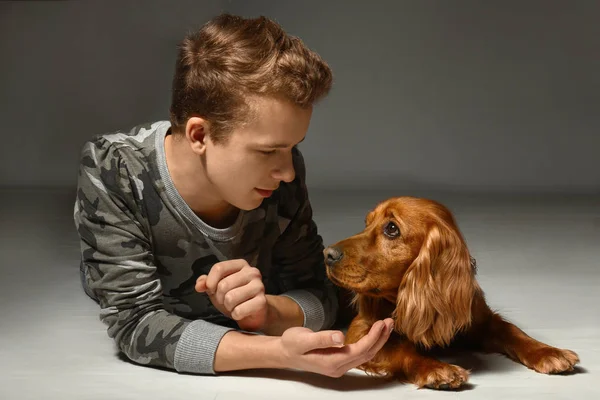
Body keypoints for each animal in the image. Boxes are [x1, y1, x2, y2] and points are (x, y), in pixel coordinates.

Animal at [326, 197, 580, 390]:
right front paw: (436, 368)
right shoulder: (361, 331)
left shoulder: (479, 320)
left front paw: (549, 352)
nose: (327, 254)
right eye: (367, 223)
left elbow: (513, 331)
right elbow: (401, 349)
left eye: (391, 228)